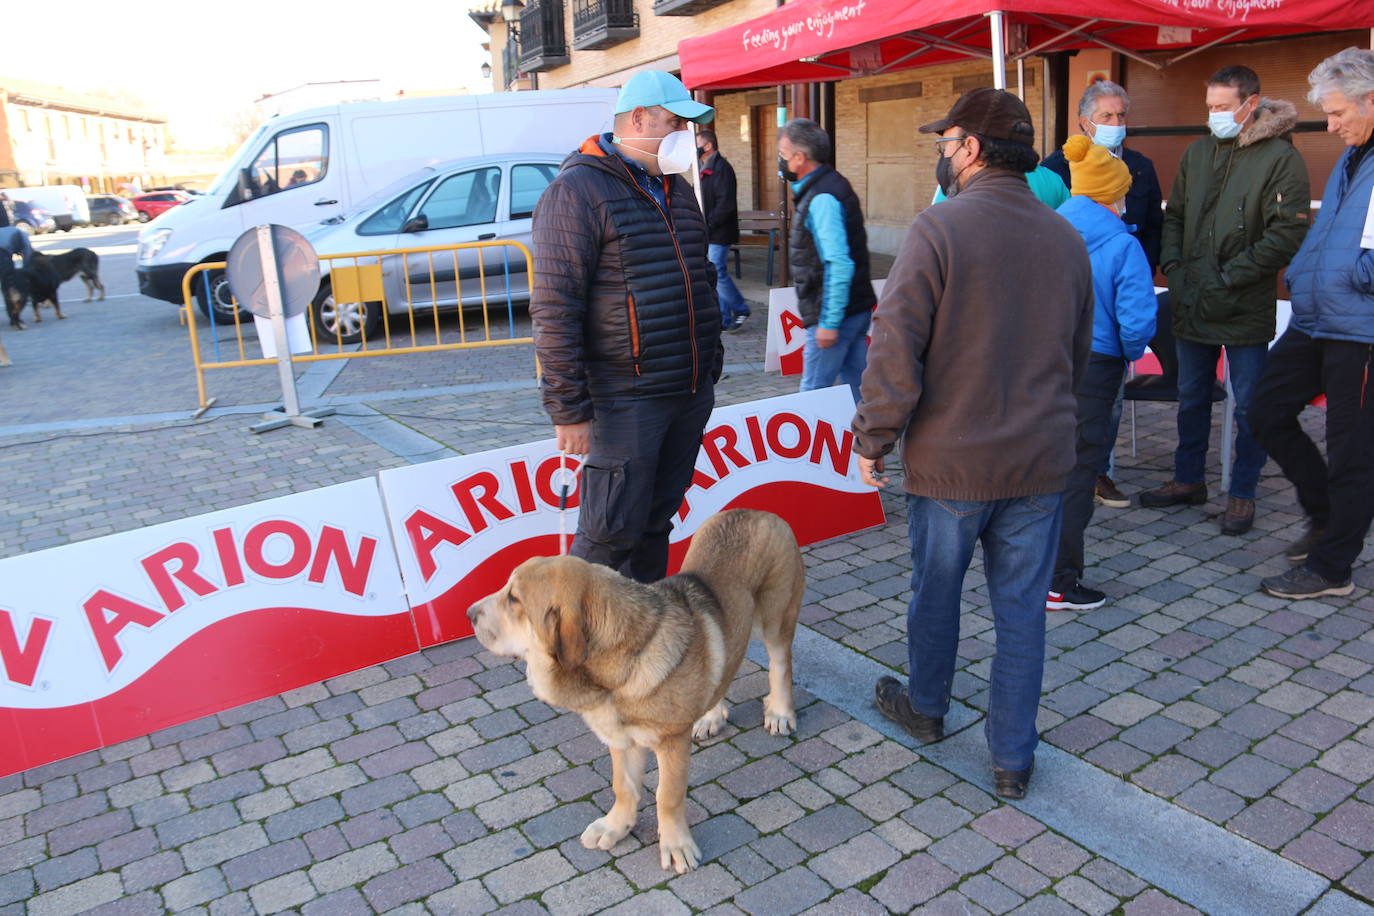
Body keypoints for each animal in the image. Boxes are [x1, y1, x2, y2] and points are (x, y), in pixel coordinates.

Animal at [467, 508, 802, 873]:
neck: (619, 670)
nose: (469, 613)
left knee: (781, 663)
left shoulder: (671, 743)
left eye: (514, 598)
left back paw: (780, 712)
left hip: (776, 617)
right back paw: (710, 715)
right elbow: (623, 787)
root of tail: (755, 512)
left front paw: (676, 845)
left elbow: (667, 796)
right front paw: (616, 827)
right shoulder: (620, 739)